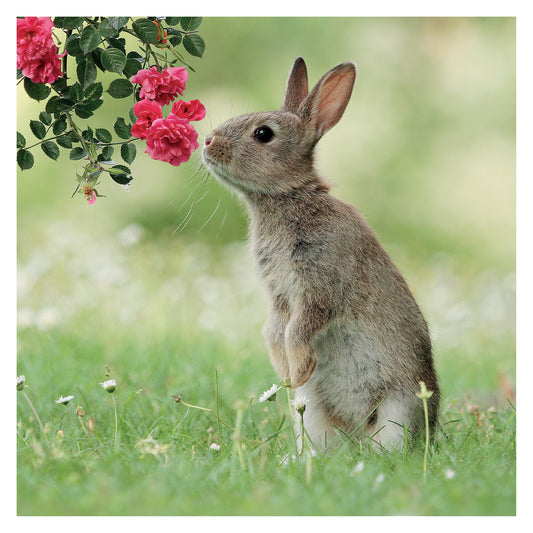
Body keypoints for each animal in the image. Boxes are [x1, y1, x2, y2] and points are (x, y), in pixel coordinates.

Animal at [202, 57, 438, 448]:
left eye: (263, 134)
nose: (207, 142)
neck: (289, 197)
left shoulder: (320, 285)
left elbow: (299, 329)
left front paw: (297, 371)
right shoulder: (280, 296)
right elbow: (275, 329)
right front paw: (287, 375)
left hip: (399, 407)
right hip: (312, 411)